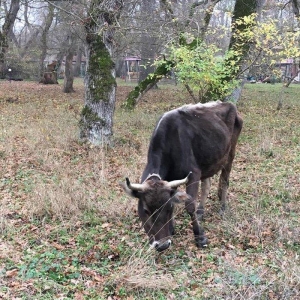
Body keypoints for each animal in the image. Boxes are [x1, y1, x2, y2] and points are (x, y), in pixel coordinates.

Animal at [120, 101, 244, 251]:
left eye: (168, 208)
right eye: (145, 210)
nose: (162, 245)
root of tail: (228, 104)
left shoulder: (194, 174)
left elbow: (189, 206)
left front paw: (200, 237)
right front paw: (172, 229)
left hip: (230, 154)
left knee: (225, 180)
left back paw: (222, 207)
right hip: (207, 162)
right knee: (206, 185)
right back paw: (201, 211)